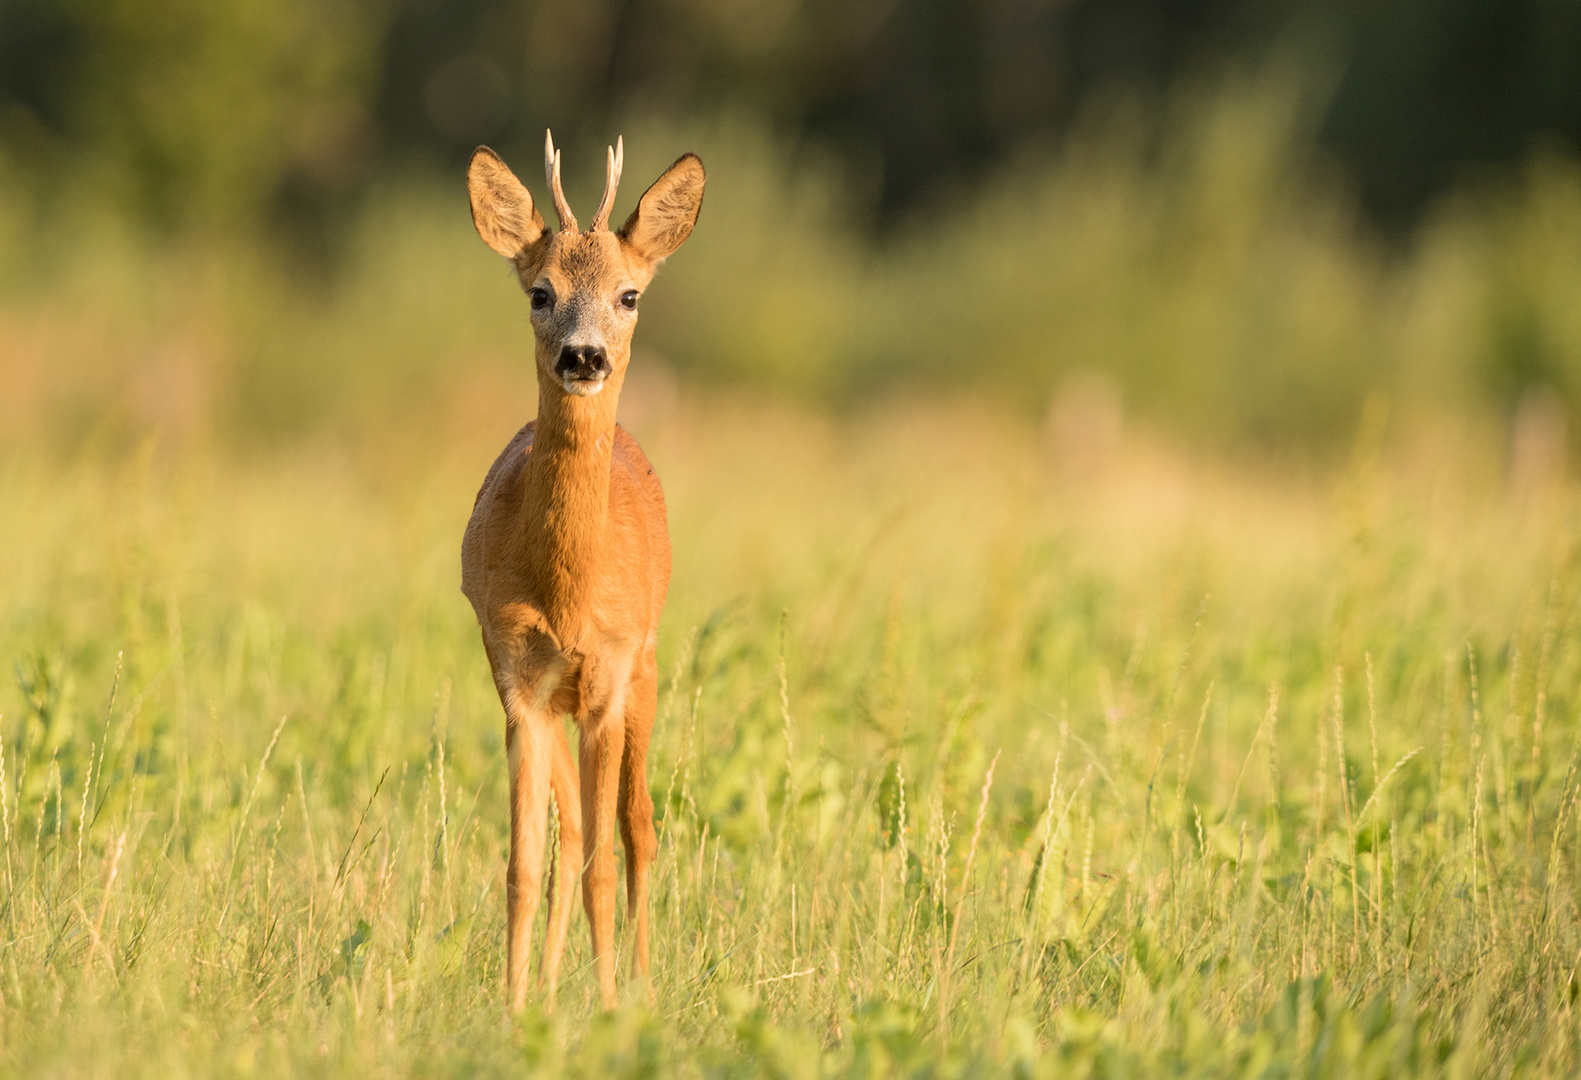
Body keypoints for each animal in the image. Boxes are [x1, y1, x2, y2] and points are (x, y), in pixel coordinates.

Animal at [458, 131, 705, 1012]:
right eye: (541, 292)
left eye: (629, 295)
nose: (584, 355)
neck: (565, 591)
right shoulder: (519, 684)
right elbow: (523, 868)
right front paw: (513, 1007)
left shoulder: (605, 675)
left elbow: (605, 861)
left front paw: (606, 1007)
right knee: (570, 832)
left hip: (648, 667)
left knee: (637, 827)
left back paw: (638, 982)